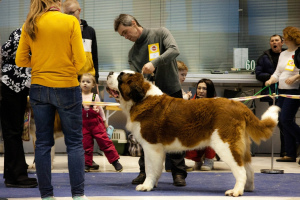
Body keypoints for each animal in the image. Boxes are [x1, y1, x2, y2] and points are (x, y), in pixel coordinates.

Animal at [106, 70, 280, 197]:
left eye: (120, 77)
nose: (110, 72)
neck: (141, 98)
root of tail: (239, 105)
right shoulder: (157, 149)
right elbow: (155, 169)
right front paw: (153, 183)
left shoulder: (151, 146)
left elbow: (149, 167)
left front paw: (146, 186)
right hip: (241, 146)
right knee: (248, 167)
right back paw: (248, 188)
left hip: (225, 145)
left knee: (241, 169)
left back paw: (236, 191)